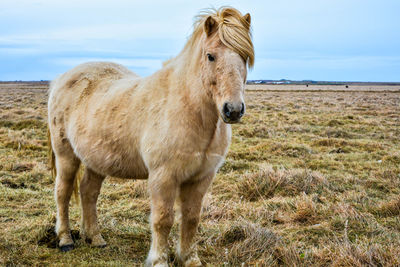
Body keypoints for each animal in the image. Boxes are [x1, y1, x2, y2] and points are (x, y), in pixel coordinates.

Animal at [47, 6, 253, 267]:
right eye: (210, 56)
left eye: (245, 57)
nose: (233, 110)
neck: (188, 109)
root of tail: (62, 79)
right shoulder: (163, 177)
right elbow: (163, 219)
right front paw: (159, 260)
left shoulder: (201, 178)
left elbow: (191, 218)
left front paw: (189, 259)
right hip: (66, 155)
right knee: (62, 193)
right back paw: (65, 240)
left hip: (96, 160)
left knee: (88, 192)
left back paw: (95, 238)